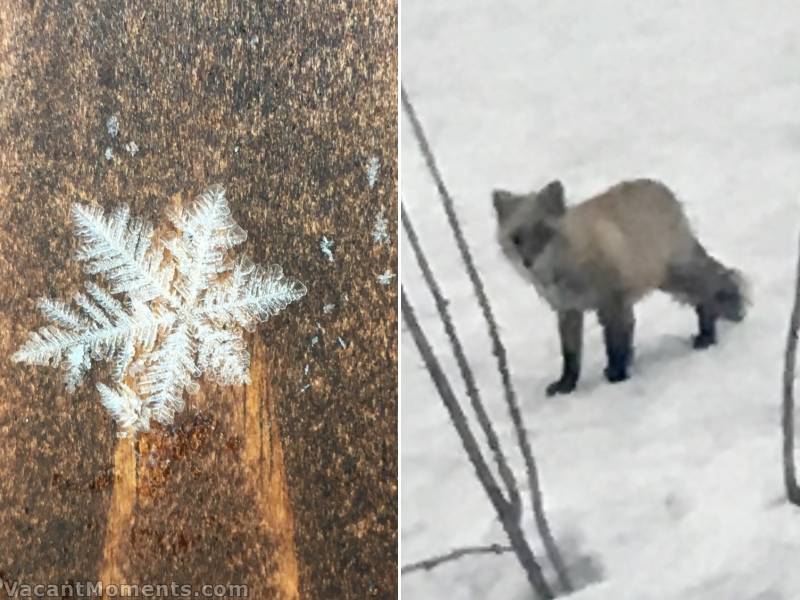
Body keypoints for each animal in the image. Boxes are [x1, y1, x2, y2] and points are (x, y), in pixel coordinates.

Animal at [494, 177, 752, 394]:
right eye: (516, 238)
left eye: (543, 232)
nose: (528, 262)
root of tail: (661, 188)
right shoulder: (568, 310)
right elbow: (570, 355)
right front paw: (566, 385)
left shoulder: (613, 304)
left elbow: (616, 345)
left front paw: (617, 378)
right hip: (667, 282)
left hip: (678, 276)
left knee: (712, 291)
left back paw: (708, 336)